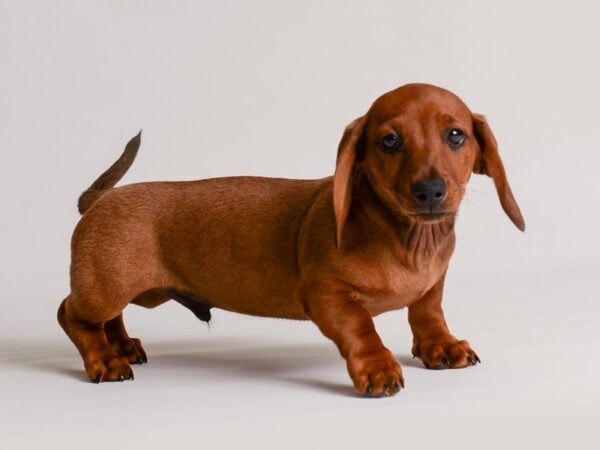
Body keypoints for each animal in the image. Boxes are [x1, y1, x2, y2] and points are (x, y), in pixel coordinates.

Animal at [57, 82, 524, 396]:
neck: (406, 238)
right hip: (106, 285)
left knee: (108, 318)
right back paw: (104, 359)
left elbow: (428, 312)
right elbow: (361, 327)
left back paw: (121, 345)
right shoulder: (326, 294)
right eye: (389, 140)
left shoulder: (433, 284)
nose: (429, 191)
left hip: (133, 292)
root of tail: (101, 199)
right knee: (73, 315)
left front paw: (441, 346)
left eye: (456, 135)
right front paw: (377, 368)